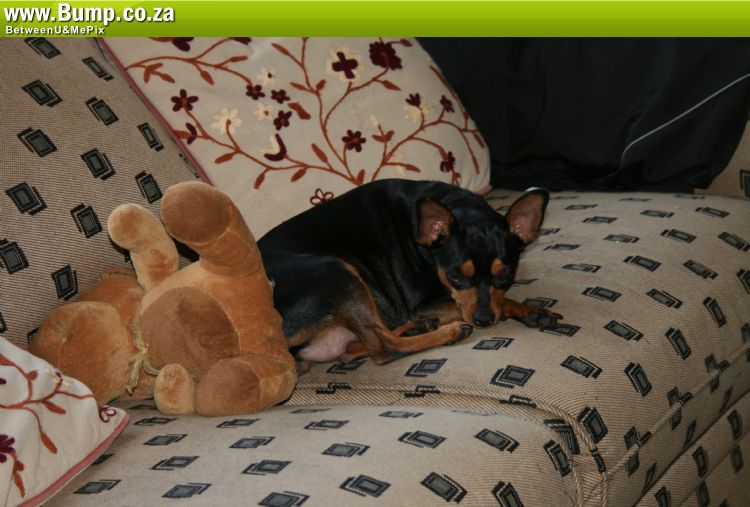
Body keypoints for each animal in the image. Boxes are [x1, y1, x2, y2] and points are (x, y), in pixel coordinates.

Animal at [258, 179, 560, 372]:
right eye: (457, 277)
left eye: (505, 275)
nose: (484, 321)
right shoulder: (422, 303)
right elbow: (470, 304)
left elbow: (497, 299)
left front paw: (530, 310)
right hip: (335, 270)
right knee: (383, 348)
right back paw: (447, 332)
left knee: (353, 348)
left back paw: (420, 327)